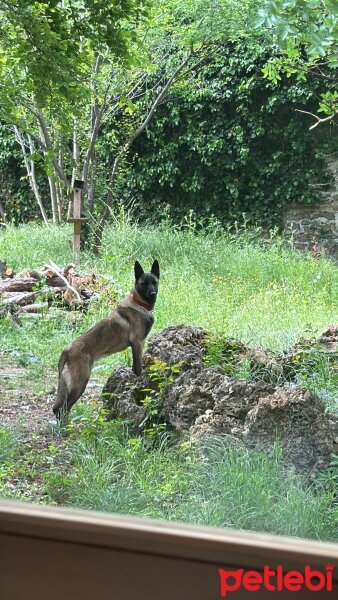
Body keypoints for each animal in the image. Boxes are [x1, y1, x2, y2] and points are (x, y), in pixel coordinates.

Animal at [52, 258, 160, 422]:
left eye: (154, 282)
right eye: (144, 283)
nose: (153, 293)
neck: (138, 304)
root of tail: (67, 349)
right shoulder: (138, 343)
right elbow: (138, 369)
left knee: (58, 408)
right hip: (80, 383)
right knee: (64, 408)